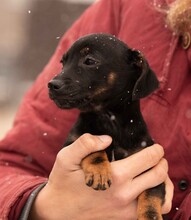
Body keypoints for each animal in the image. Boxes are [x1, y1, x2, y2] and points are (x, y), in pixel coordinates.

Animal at [48, 33, 166, 220]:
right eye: (62, 62)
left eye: (90, 61)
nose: (52, 84)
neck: (110, 120)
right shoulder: (72, 143)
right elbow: (93, 146)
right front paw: (100, 172)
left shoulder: (152, 169)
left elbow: (150, 196)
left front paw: (150, 216)